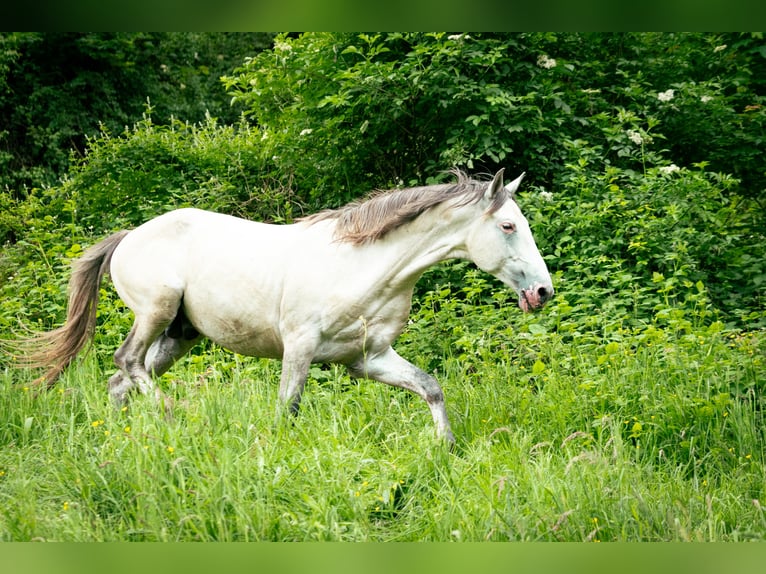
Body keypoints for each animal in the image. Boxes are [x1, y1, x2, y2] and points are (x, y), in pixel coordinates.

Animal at [21, 169, 556, 444]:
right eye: (508, 225)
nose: (542, 292)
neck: (364, 264)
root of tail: (129, 236)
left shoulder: (368, 359)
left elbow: (430, 387)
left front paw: (444, 448)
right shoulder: (299, 349)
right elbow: (288, 409)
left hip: (179, 336)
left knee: (120, 381)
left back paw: (121, 437)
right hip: (156, 312)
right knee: (126, 362)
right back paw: (174, 414)